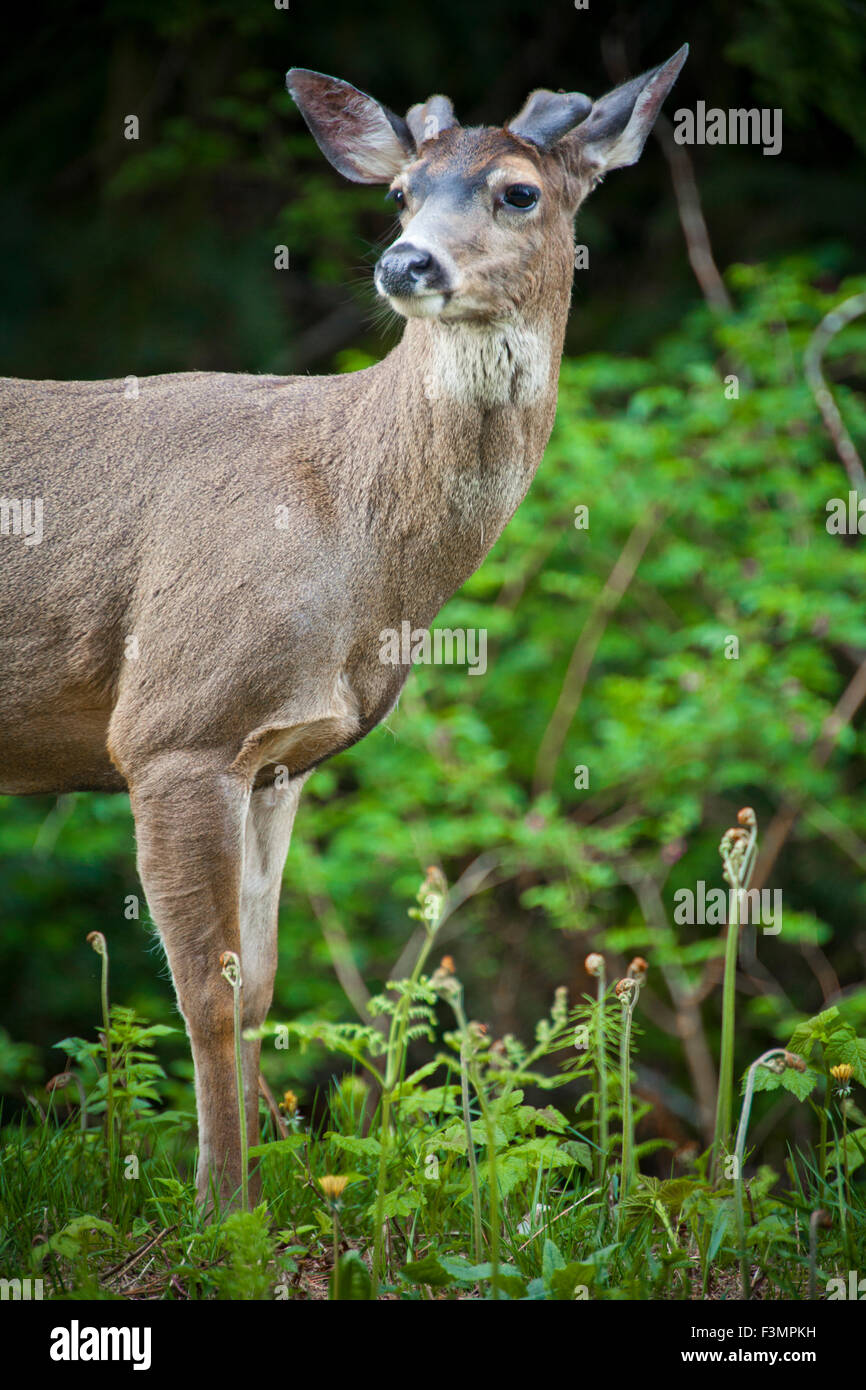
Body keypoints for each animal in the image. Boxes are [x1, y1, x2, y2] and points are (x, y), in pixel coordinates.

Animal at [1, 46, 692, 1206]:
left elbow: (263, 986)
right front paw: (220, 1207)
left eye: (518, 191)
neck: (352, 533)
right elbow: (208, 993)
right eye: (401, 193)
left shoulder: (281, 755)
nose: (405, 264)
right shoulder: (173, 726)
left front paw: (242, 1189)